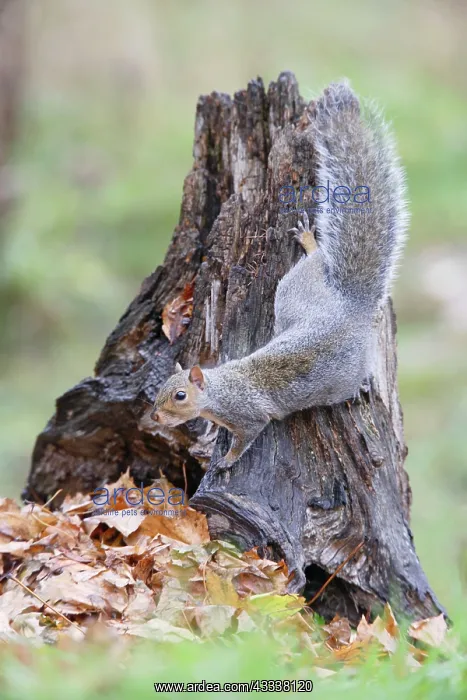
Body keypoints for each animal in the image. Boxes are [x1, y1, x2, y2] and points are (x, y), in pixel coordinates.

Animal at [151, 81, 408, 472]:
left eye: (180, 395)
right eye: (162, 386)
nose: (155, 416)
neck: (221, 388)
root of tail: (351, 307)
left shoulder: (248, 418)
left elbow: (244, 440)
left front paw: (226, 460)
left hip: (338, 368)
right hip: (293, 290)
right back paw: (310, 242)